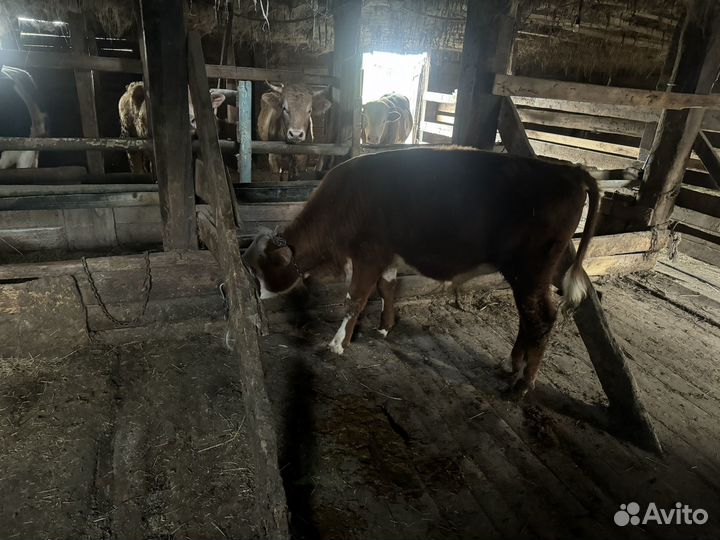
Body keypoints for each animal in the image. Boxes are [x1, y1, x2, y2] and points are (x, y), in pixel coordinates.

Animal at [243, 147, 600, 398]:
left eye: (258, 268)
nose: (251, 295)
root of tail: (571, 171)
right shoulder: (386, 256)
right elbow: (386, 289)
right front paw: (385, 327)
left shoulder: (368, 254)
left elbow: (354, 299)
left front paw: (337, 343)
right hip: (531, 274)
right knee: (529, 320)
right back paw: (511, 364)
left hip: (530, 271)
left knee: (541, 318)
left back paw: (522, 385)